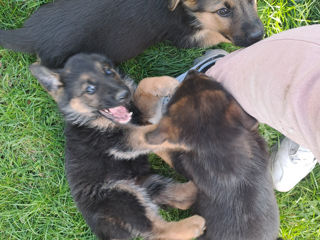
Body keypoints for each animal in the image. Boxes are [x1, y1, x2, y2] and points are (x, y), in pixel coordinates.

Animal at [1, 0, 264, 67]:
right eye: (223, 11)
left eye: (252, 0)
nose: (259, 36)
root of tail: (32, 33)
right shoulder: (185, 36)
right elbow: (218, 34)